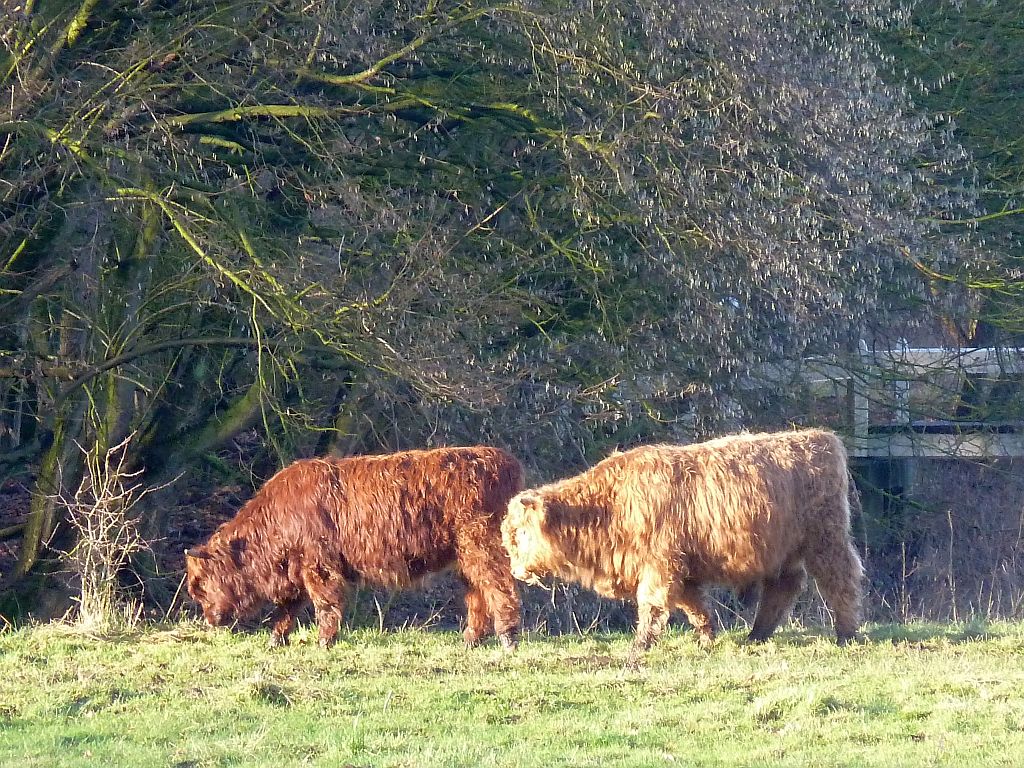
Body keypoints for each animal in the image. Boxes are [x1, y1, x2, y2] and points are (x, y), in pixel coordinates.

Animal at [184, 444, 524, 651]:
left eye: (200, 586)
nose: (210, 620)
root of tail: (500, 459)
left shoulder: (318, 565)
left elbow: (324, 604)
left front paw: (324, 641)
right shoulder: (298, 569)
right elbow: (287, 608)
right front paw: (276, 639)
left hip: (482, 544)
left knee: (500, 586)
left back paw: (508, 637)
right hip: (464, 554)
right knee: (477, 591)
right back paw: (471, 639)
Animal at [503, 430, 864, 659]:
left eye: (521, 534)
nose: (516, 572)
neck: (608, 508)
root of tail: (820, 438)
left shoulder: (659, 565)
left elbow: (652, 606)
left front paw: (639, 647)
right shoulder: (683, 568)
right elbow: (694, 606)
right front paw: (706, 638)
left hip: (826, 539)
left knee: (840, 581)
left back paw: (846, 635)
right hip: (782, 550)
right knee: (783, 587)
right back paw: (756, 636)